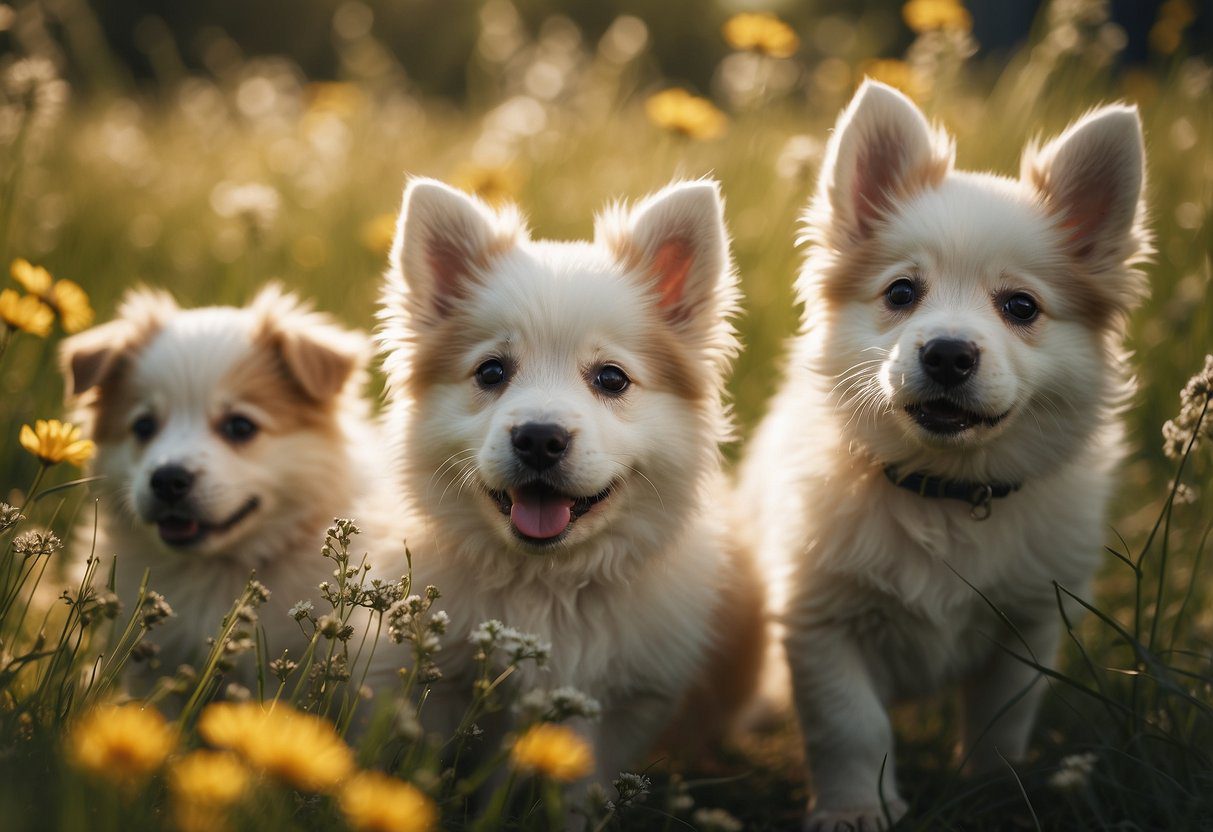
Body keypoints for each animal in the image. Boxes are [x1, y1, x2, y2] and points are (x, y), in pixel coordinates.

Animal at [378, 177, 756, 790]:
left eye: (611, 378)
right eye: (491, 372)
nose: (538, 438)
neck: (547, 585)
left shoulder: (624, 704)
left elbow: (582, 783)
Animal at [742, 80, 1149, 832]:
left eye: (1020, 307)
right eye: (902, 293)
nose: (948, 353)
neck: (946, 492)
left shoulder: (1027, 624)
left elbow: (1000, 723)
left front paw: (991, 795)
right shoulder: (821, 622)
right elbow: (850, 726)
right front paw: (853, 809)